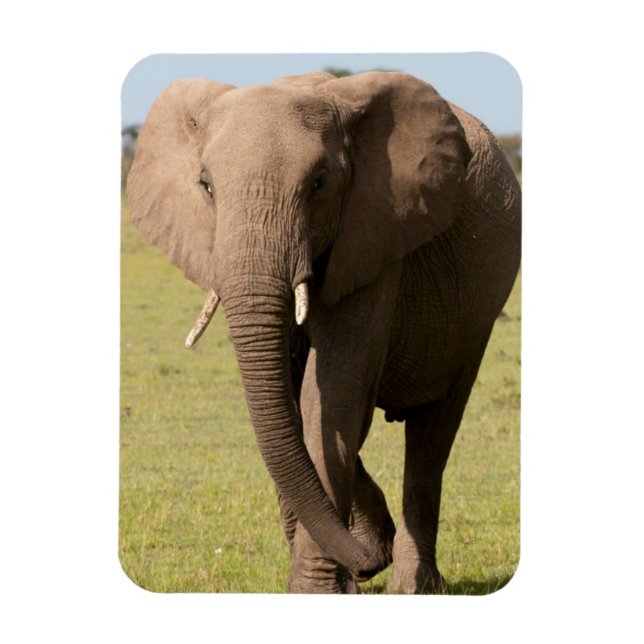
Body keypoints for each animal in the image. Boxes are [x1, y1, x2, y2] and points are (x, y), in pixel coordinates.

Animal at [126, 70, 521, 593]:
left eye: (319, 184)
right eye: (206, 186)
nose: (366, 564)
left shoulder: (376, 234)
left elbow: (332, 394)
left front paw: (322, 588)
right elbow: (295, 403)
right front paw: (356, 562)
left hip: (477, 317)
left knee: (433, 434)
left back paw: (413, 583)